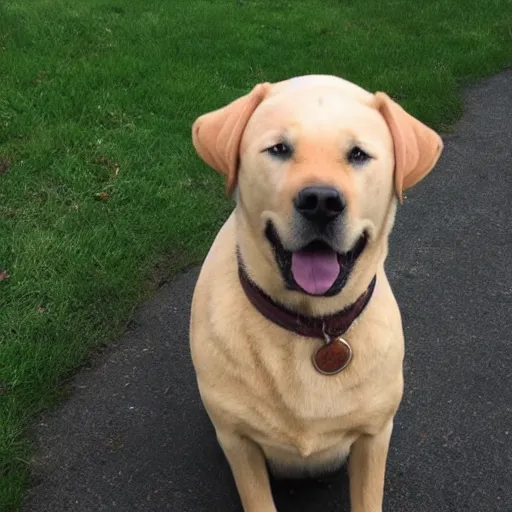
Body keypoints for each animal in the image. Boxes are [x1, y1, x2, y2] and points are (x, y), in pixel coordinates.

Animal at [190, 74, 442, 510]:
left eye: (358, 154)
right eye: (279, 149)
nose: (321, 201)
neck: (310, 325)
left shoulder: (374, 436)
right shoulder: (238, 443)